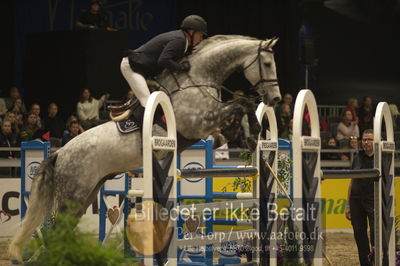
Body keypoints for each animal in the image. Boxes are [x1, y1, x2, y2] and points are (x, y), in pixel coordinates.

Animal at [8, 34, 278, 260]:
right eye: (266, 64)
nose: (274, 99)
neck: (198, 79)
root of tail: (60, 153)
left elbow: (239, 108)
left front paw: (250, 136)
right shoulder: (198, 122)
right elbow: (240, 104)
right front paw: (246, 132)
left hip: (85, 195)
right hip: (72, 194)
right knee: (54, 230)